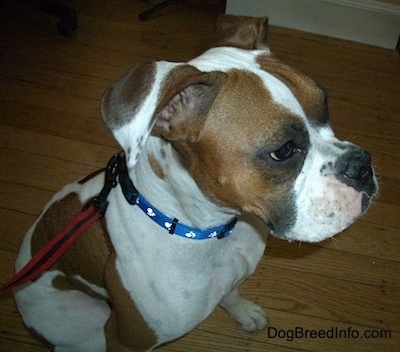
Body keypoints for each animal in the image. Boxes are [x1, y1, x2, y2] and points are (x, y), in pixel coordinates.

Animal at [10, 15, 376, 352]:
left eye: (325, 106)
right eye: (284, 150)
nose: (361, 165)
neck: (208, 231)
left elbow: (232, 293)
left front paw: (244, 312)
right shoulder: (124, 340)